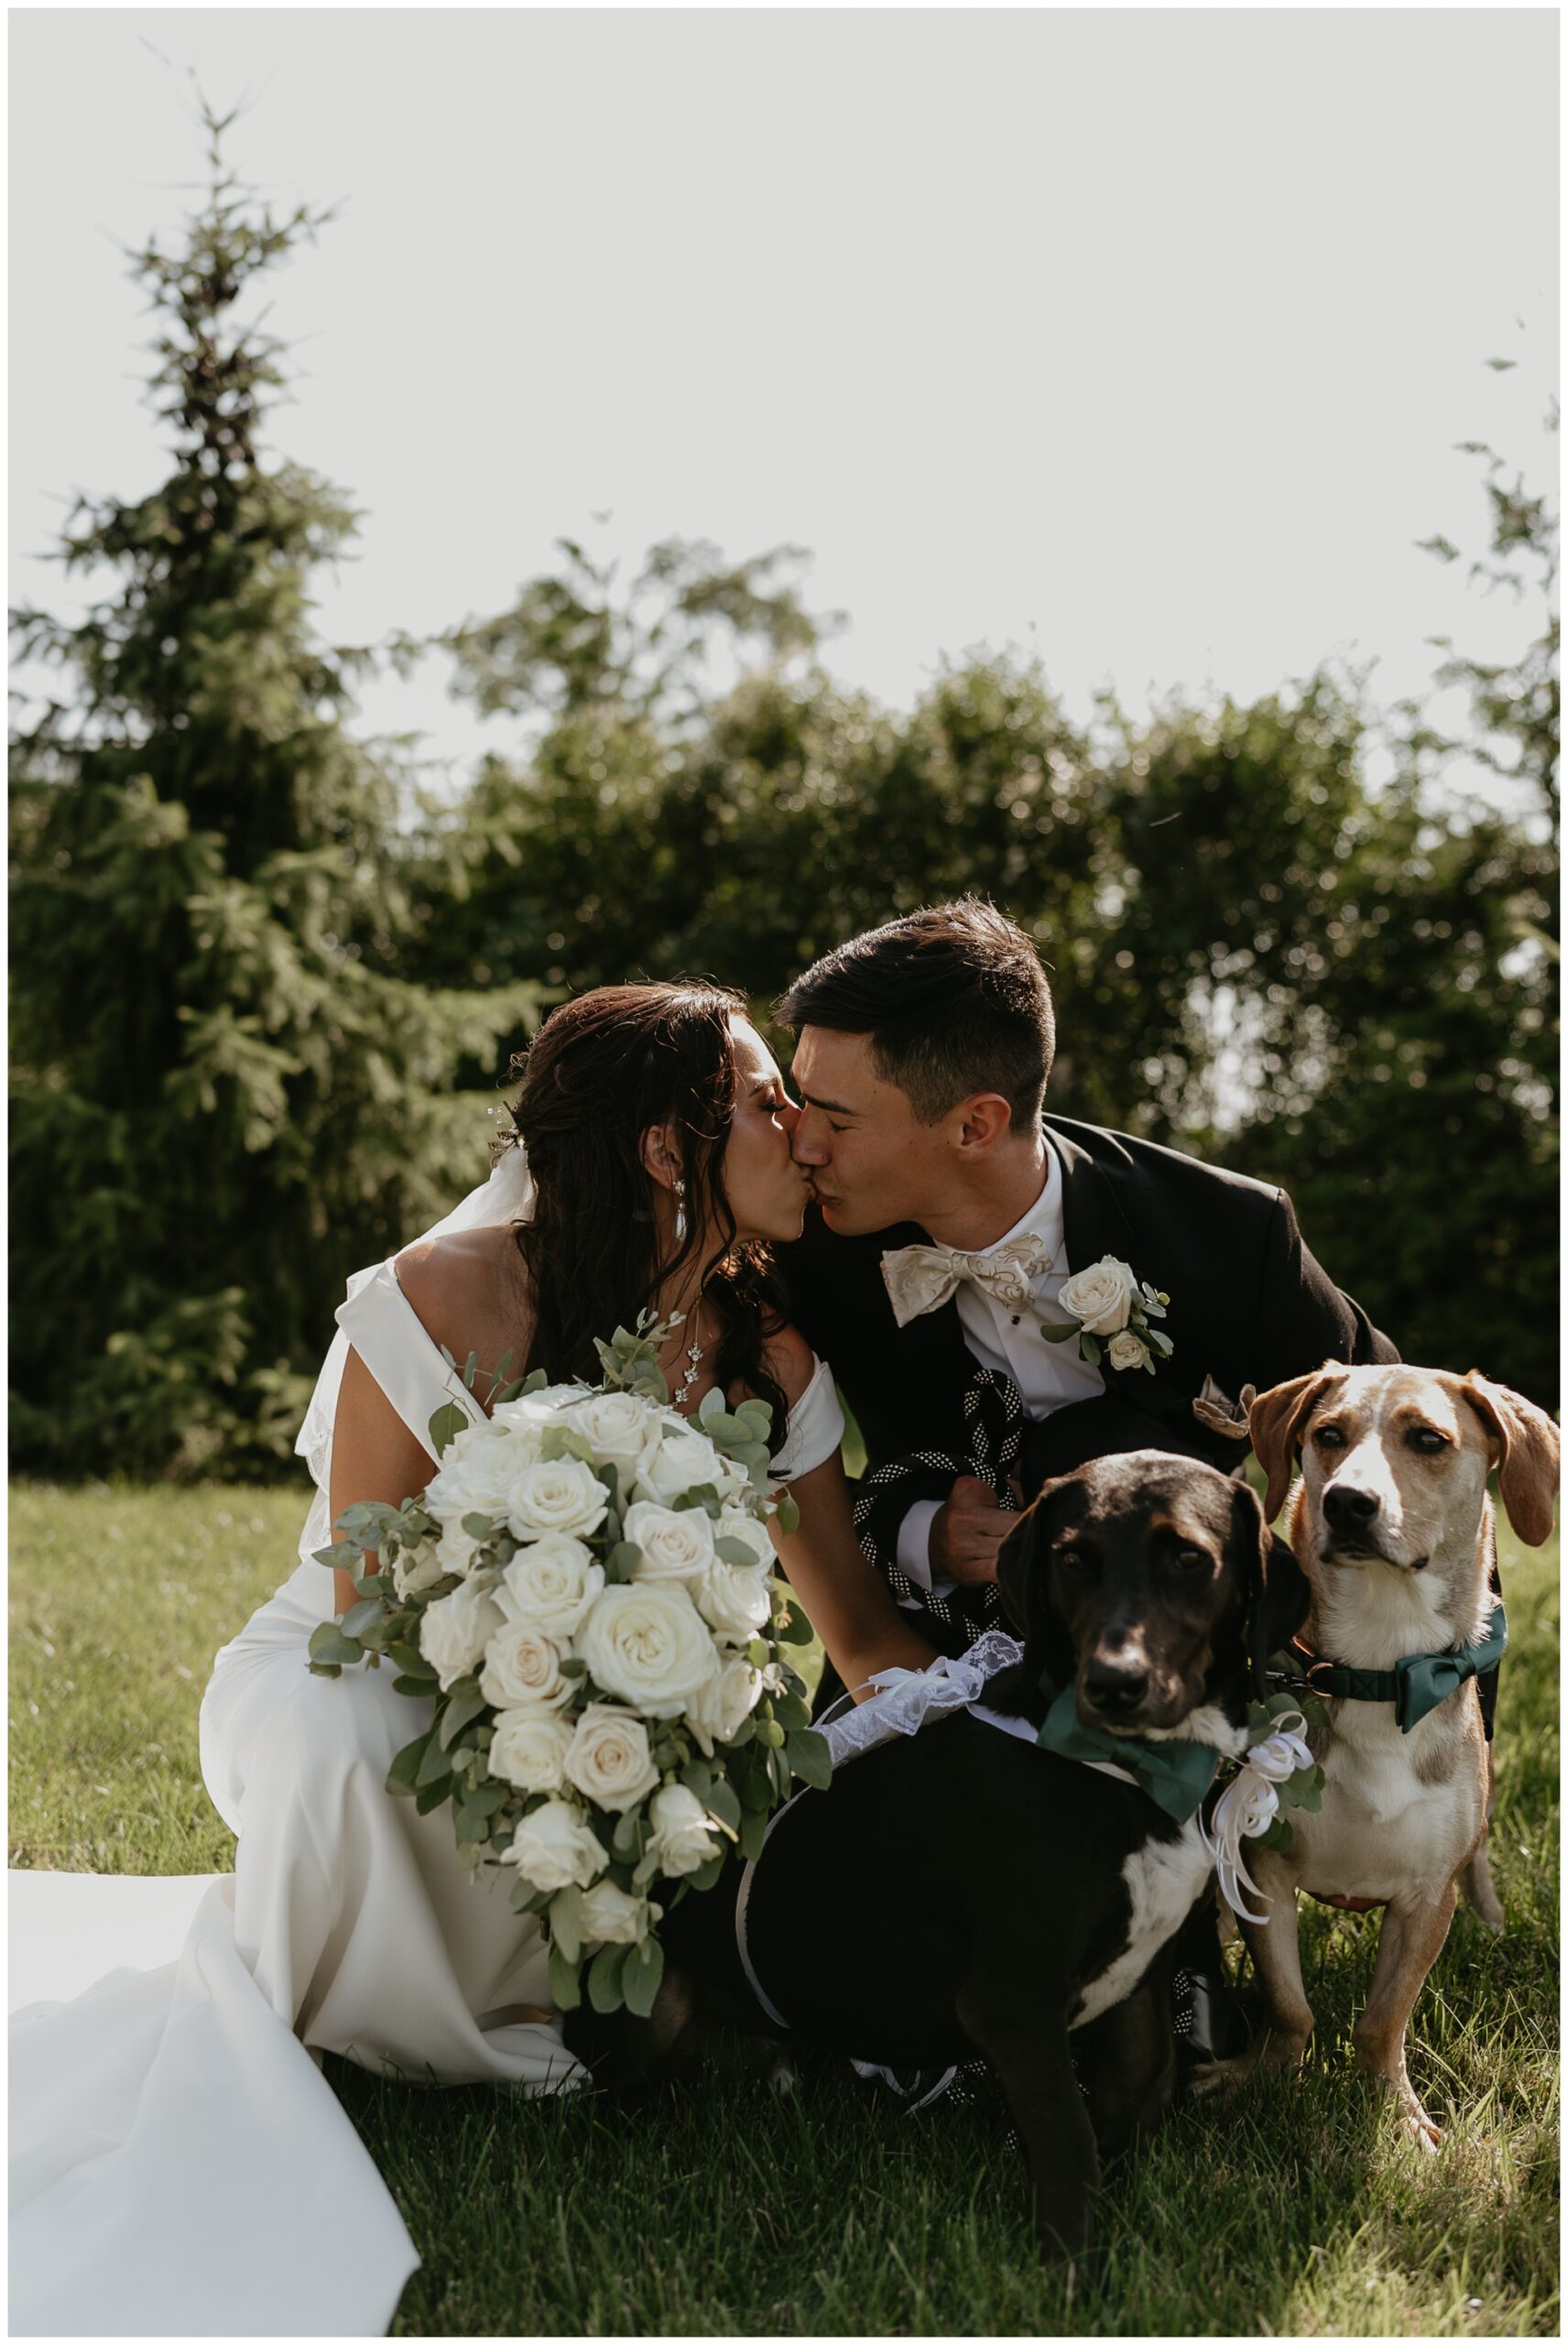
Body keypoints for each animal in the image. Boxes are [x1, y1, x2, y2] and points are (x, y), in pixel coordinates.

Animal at [569, 1454, 1302, 2260]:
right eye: (1072, 1560)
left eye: (1189, 1558)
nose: (1114, 1685)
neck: (1128, 1772)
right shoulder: (1013, 2002)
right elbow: (1070, 2142)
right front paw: (1070, 2267)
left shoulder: (1140, 1979)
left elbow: (1140, 2088)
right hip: (651, 2012)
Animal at [1200, 1359, 1556, 2147]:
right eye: (1328, 1436)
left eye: (1427, 1439)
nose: (1348, 1503)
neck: (1377, 1663)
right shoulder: (1263, 1866)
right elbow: (1290, 2003)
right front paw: (1262, 2077)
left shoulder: (1427, 1894)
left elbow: (1384, 2019)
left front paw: (1397, 2117)